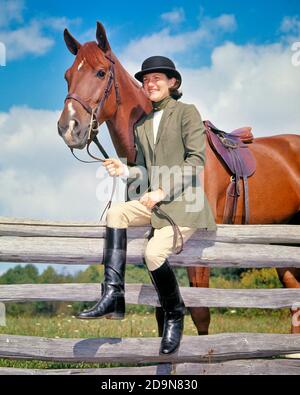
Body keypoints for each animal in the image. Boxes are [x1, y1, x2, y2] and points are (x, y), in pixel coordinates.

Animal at [57, 22, 300, 334]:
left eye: (100, 72)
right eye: (68, 76)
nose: (68, 128)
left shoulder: (198, 251)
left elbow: (200, 311)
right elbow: (161, 308)